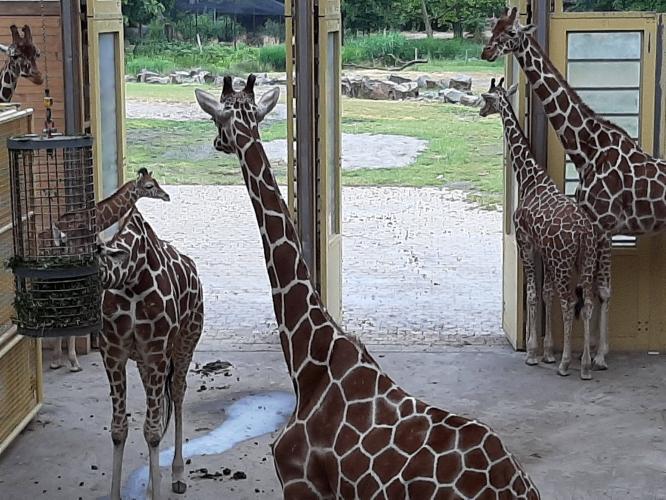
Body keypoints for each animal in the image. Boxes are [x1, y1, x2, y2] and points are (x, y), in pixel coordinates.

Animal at [48, 168, 170, 372]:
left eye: (155, 181)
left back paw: (57, 360)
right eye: (149, 186)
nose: (166, 196)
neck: (98, 218)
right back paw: (73, 362)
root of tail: (57, 232)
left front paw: (57, 360)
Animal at [95, 205, 204, 500]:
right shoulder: (113, 353)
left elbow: (152, 432)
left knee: (177, 392)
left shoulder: (157, 353)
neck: (131, 278)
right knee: (160, 407)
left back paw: (178, 475)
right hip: (146, 362)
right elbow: (119, 429)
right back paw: (151, 484)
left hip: (186, 341)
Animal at [480, 78, 597, 379]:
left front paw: (533, 353)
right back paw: (586, 365)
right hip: (586, 259)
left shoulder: (525, 241)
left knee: (569, 303)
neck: (530, 178)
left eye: (486, 98)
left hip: (564, 260)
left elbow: (533, 294)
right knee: (588, 303)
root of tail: (584, 232)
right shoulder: (543, 248)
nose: (480, 111)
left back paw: (567, 364)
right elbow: (546, 293)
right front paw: (547, 352)